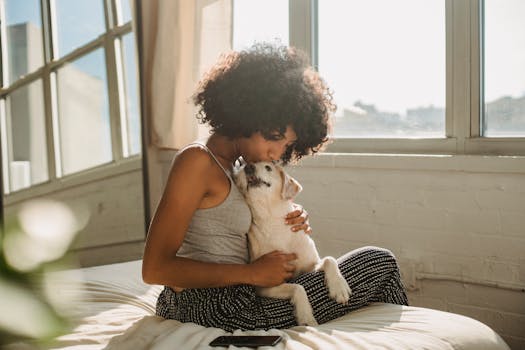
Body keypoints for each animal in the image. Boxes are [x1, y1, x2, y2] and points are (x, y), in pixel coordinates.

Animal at [234, 161, 352, 326]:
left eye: (268, 167)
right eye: (241, 166)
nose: (248, 167)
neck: (273, 220)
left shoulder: (310, 266)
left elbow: (330, 259)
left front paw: (339, 287)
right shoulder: (264, 287)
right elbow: (298, 287)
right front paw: (306, 317)